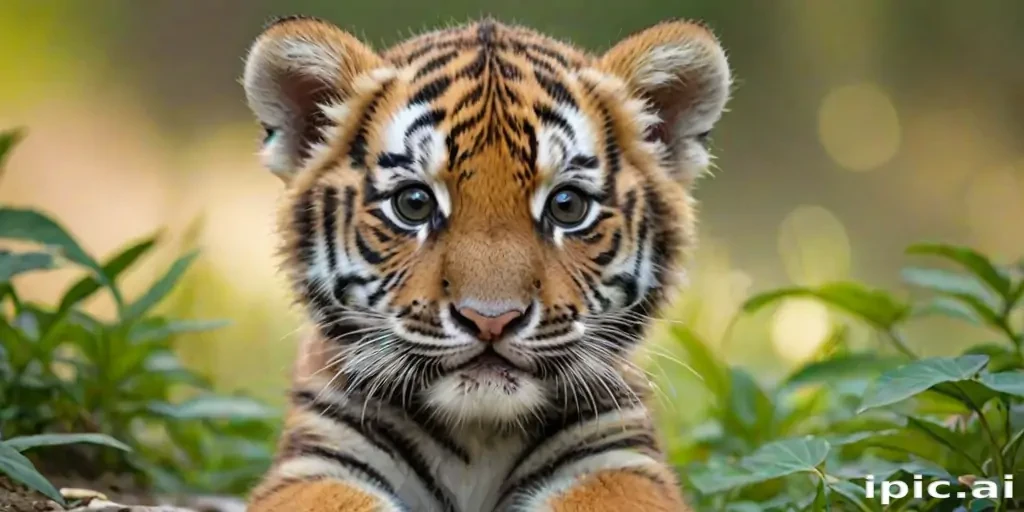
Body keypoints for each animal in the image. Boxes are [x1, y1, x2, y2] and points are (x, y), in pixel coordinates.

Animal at [241, 14, 731, 512]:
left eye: (567, 206)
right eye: (413, 204)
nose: (491, 320)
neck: (478, 433)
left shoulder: (617, 456)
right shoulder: (316, 460)